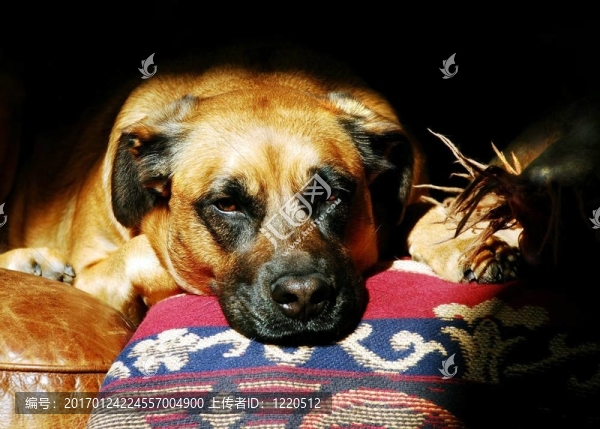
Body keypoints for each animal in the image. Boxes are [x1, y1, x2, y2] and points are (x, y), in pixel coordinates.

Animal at [0, 43, 517, 345]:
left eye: (331, 196)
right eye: (226, 205)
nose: (304, 299)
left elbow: (432, 211)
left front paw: (471, 239)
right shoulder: (99, 273)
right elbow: (148, 251)